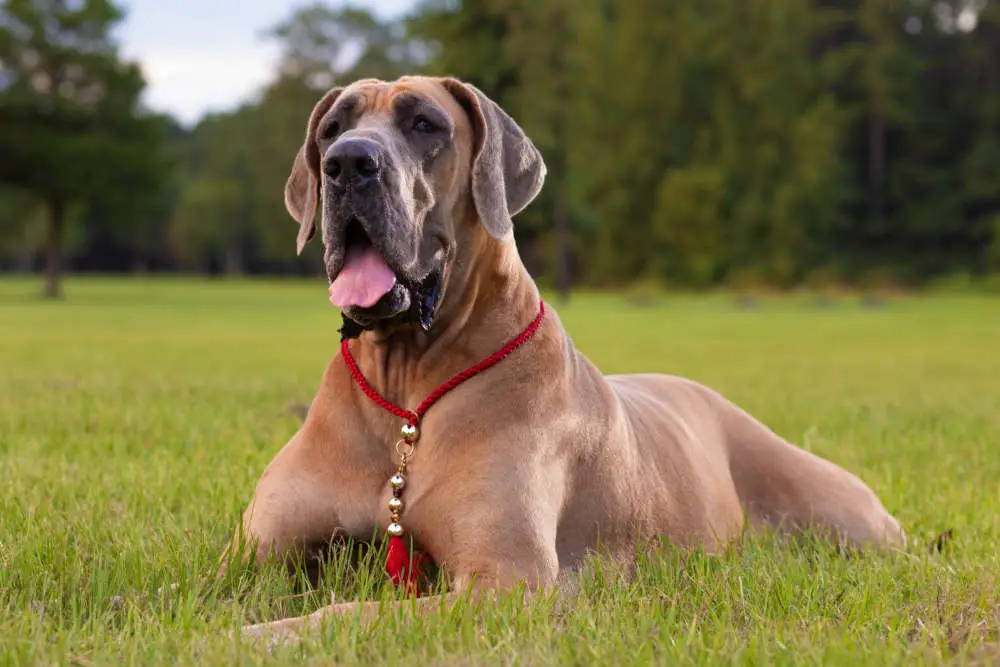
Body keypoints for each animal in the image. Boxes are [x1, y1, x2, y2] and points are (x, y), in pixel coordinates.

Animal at [223, 75, 912, 640]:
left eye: (424, 125)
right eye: (331, 129)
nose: (347, 162)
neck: (407, 396)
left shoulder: (504, 582)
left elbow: (343, 614)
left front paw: (254, 638)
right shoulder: (248, 555)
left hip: (842, 516)